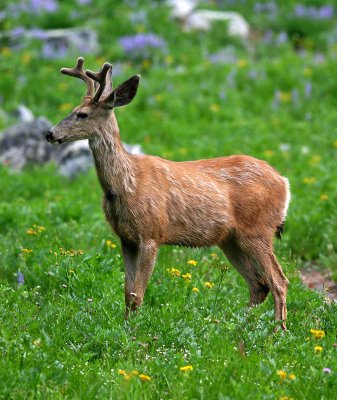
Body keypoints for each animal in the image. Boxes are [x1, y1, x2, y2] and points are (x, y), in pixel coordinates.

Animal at [46, 56, 290, 332]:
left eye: (82, 114)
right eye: (74, 108)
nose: (50, 133)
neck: (125, 184)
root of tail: (284, 182)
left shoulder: (152, 233)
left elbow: (137, 293)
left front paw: (132, 332)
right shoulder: (126, 238)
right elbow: (127, 292)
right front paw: (125, 327)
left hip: (258, 229)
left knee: (278, 280)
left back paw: (278, 331)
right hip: (231, 239)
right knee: (258, 285)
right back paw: (234, 328)